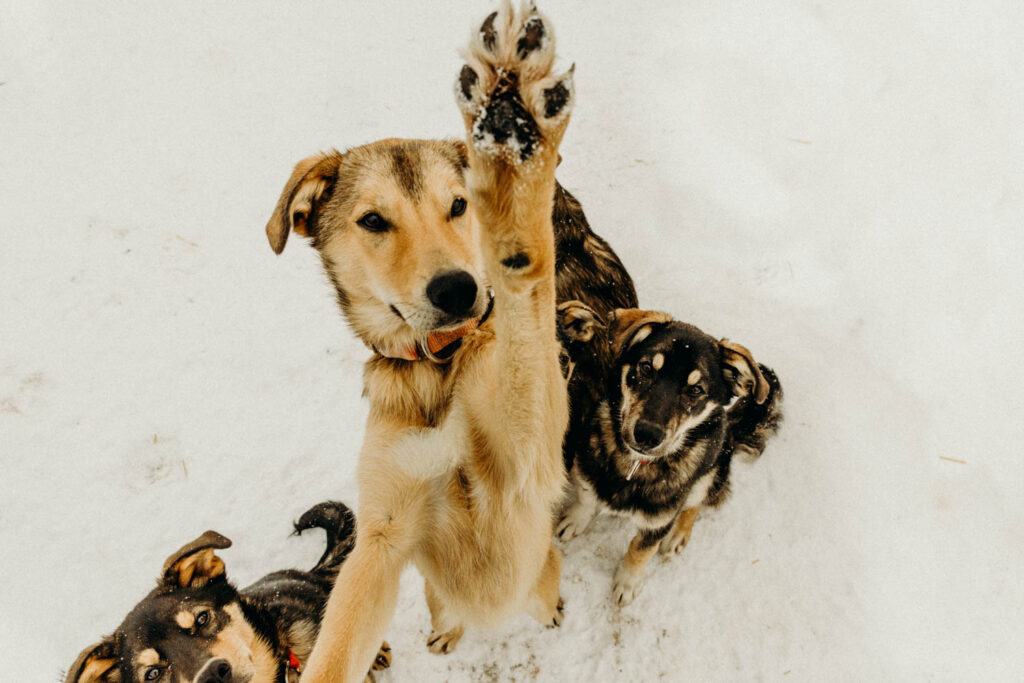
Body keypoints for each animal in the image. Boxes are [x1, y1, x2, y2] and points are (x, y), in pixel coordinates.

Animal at [264, 3, 577, 679]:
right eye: (373, 220)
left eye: (459, 206)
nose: (458, 291)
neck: (437, 370)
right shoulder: (380, 540)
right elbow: (335, 649)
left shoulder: (521, 464)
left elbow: (526, 282)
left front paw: (518, 141)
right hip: (436, 594)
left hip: (539, 575)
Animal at [552, 307, 782, 606]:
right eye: (646, 368)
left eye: (696, 390)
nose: (647, 434)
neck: (634, 466)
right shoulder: (586, 469)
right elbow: (585, 497)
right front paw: (576, 519)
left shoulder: (659, 521)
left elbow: (640, 550)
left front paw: (627, 582)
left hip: (710, 473)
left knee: (695, 504)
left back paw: (679, 536)